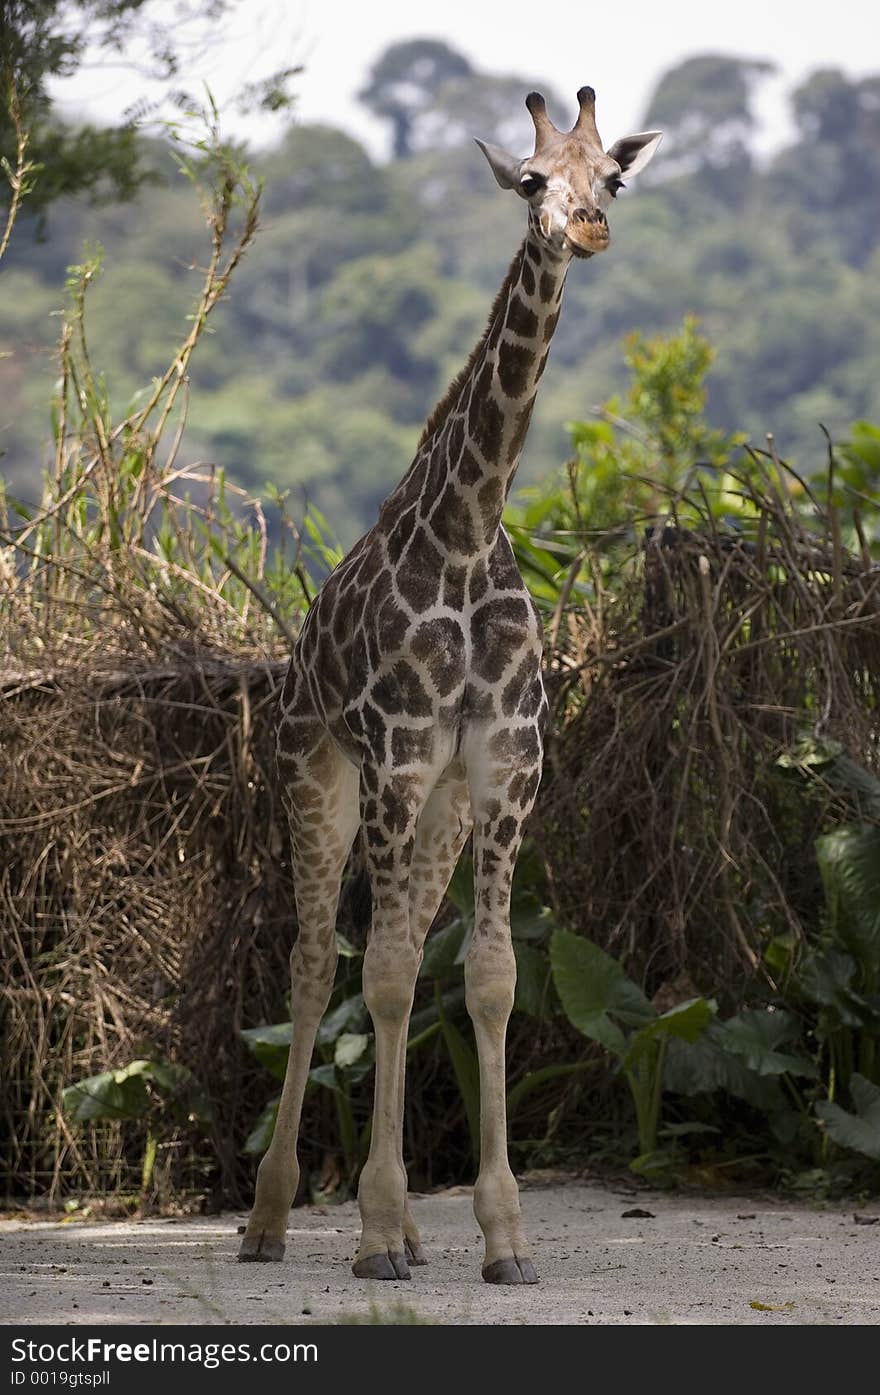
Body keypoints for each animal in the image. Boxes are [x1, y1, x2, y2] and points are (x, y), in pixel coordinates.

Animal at [241, 87, 661, 1283]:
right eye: (530, 180)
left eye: (611, 178)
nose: (584, 228)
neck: (471, 533)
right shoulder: (395, 752)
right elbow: (379, 975)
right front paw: (375, 1231)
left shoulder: (504, 764)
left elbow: (485, 979)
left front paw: (500, 1236)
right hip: (319, 776)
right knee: (312, 963)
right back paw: (274, 1219)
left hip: (436, 808)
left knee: (392, 956)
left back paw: (415, 1232)